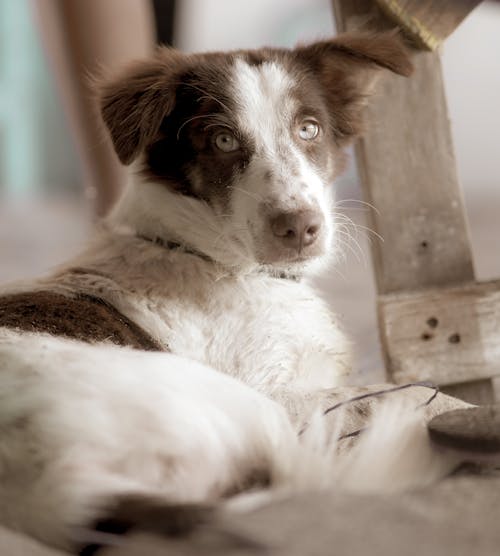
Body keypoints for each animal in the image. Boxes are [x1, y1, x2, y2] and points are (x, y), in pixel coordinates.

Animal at [0, 32, 468, 552]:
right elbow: (417, 392)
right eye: (223, 140)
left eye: (309, 129)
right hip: (258, 413)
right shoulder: (286, 393)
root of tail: (67, 488)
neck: (212, 258)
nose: (300, 228)